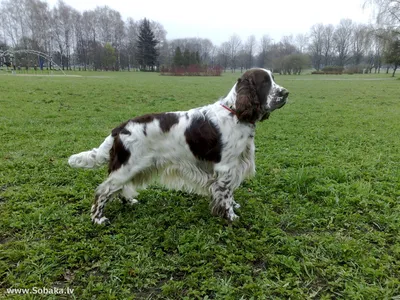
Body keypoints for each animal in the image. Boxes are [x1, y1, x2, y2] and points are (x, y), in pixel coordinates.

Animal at [68, 68, 288, 223]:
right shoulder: (226, 167)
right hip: (127, 166)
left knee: (118, 188)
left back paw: (129, 202)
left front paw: (233, 207)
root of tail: (119, 128)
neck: (235, 113)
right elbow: (225, 194)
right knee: (103, 191)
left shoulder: (233, 167)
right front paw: (231, 216)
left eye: (273, 78)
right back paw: (98, 219)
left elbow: (230, 192)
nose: (286, 93)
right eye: (265, 82)